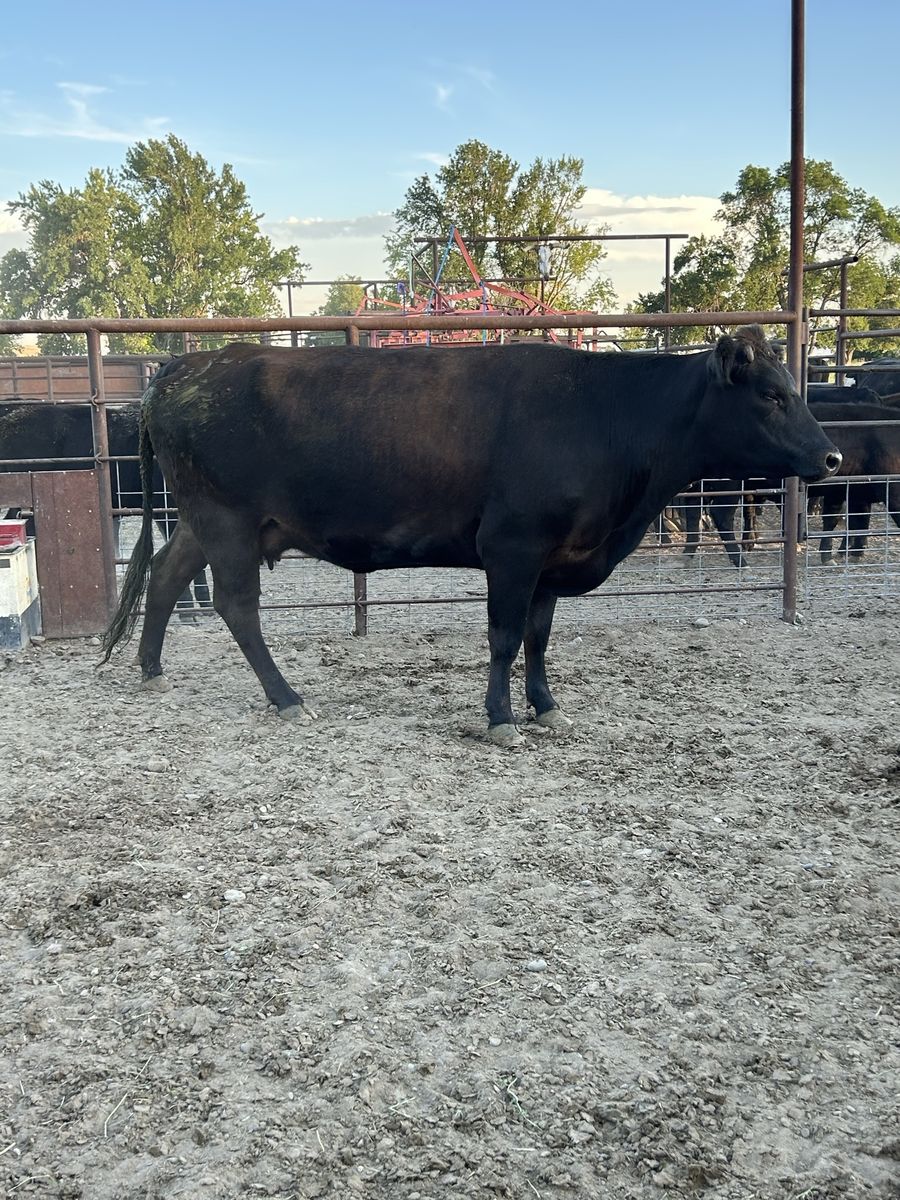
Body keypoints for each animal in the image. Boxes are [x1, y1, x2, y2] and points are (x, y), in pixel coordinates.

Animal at [102, 328, 840, 746]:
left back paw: (151, 669)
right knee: (237, 607)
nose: (830, 456)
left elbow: (539, 638)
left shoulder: (554, 558)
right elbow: (505, 637)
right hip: (226, 519)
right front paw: (501, 720)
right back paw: (286, 699)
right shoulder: (512, 548)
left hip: (206, 521)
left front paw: (546, 708)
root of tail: (184, 368)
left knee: (165, 576)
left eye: (794, 386)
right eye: (771, 394)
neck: (607, 414)